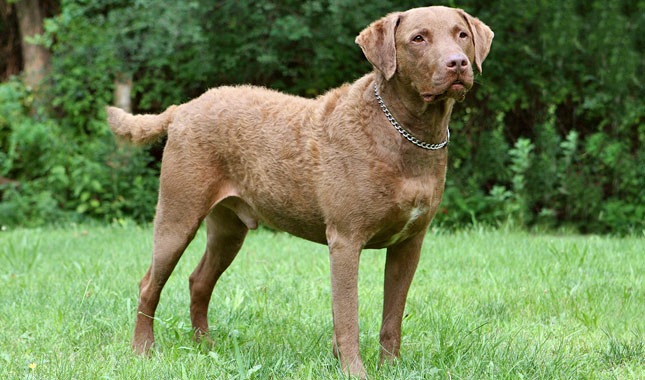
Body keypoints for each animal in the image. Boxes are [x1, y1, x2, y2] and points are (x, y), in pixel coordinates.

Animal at [105, 5, 490, 378]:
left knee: (199, 281)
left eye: (462, 34)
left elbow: (392, 318)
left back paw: (205, 347)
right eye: (418, 38)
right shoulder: (346, 240)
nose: (457, 63)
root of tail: (182, 108)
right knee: (149, 284)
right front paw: (354, 371)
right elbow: (347, 317)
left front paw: (391, 369)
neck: (403, 132)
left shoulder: (409, 243)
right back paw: (143, 351)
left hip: (228, 228)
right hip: (178, 213)